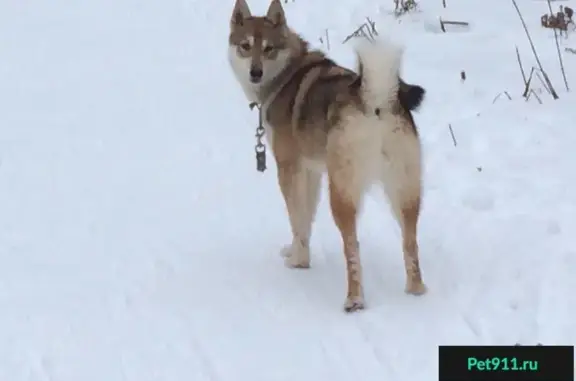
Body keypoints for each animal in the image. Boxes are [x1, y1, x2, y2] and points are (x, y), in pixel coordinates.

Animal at [227, 0, 426, 310]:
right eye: (245, 46)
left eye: (269, 48)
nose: (255, 73)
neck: (286, 73)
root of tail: (376, 102)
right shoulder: (311, 172)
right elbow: (306, 218)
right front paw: (298, 254)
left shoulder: (289, 169)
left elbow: (296, 218)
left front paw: (298, 260)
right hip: (405, 191)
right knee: (410, 242)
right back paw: (415, 290)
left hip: (342, 191)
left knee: (353, 247)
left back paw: (354, 299)